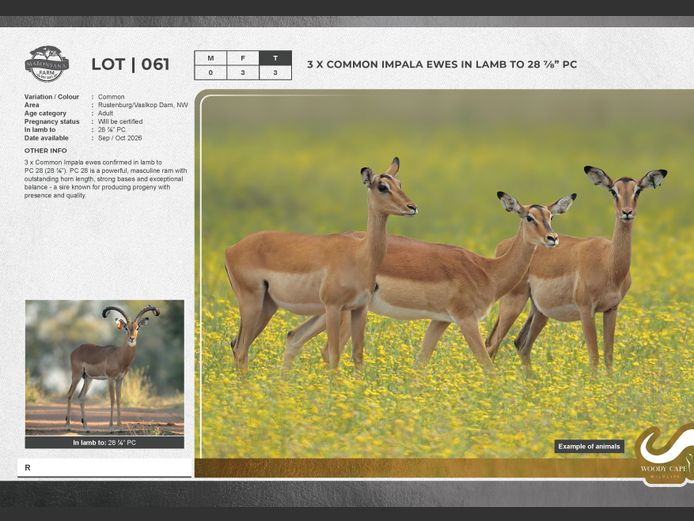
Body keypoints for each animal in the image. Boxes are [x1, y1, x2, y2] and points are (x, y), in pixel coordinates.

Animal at [224, 157, 417, 370]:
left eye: (400, 184)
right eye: (382, 186)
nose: (411, 207)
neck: (359, 254)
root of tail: (231, 249)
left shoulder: (360, 308)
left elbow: (358, 356)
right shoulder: (333, 307)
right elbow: (333, 355)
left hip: (267, 306)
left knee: (238, 344)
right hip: (251, 303)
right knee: (241, 348)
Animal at [282, 191, 576, 371]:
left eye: (551, 216)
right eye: (529, 216)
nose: (552, 238)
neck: (487, 270)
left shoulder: (440, 320)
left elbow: (420, 363)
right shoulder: (466, 319)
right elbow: (486, 364)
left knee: (294, 336)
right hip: (344, 311)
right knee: (325, 350)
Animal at [485, 166, 668, 370]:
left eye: (638, 191)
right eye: (613, 191)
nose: (626, 212)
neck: (609, 264)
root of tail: (504, 245)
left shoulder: (611, 309)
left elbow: (608, 356)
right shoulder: (586, 310)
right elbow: (594, 357)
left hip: (539, 310)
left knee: (521, 344)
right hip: (513, 301)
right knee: (492, 343)